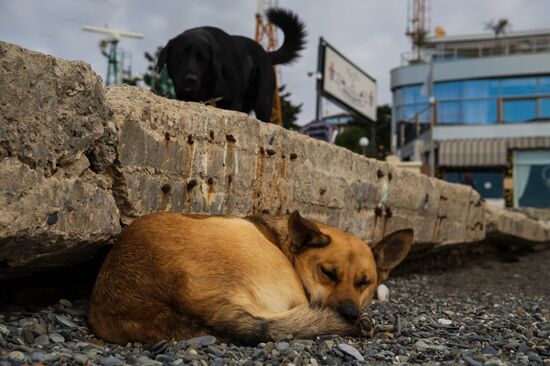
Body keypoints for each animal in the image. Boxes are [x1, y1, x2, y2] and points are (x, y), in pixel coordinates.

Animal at [157, 7, 308, 122]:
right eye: (181, 55)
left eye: (203, 60)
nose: (191, 80)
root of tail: (266, 53)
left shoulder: (234, 101)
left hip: (263, 102)